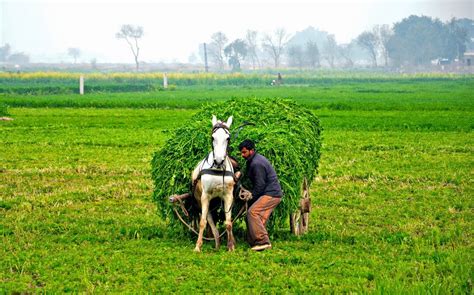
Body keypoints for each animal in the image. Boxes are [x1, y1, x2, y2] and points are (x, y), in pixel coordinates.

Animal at [192, 115, 236, 252]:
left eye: (228, 138)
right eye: (212, 137)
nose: (218, 161)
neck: (218, 170)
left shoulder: (228, 196)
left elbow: (228, 223)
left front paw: (231, 246)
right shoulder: (205, 196)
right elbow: (202, 222)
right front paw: (197, 246)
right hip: (201, 201)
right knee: (209, 221)